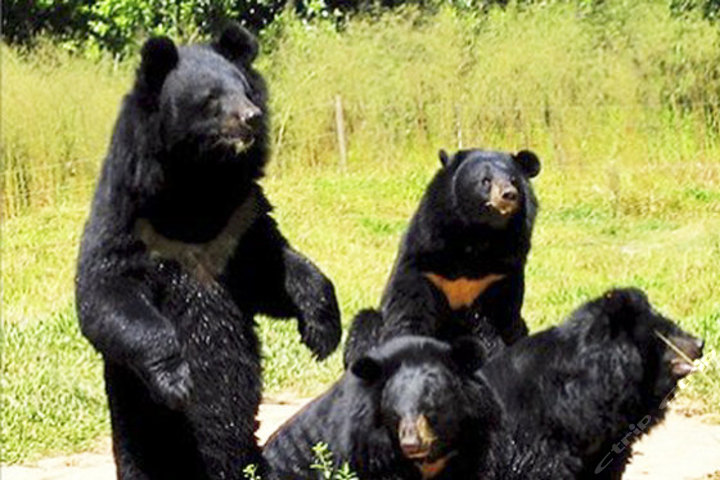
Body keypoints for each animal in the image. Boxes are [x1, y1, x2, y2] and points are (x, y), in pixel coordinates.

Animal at [76, 25, 340, 480]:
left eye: (246, 90)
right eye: (212, 98)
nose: (251, 117)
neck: (199, 182)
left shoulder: (240, 220)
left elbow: (272, 269)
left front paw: (322, 330)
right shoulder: (129, 216)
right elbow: (107, 292)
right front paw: (177, 378)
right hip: (145, 443)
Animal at [344, 148, 540, 366]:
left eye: (514, 181)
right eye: (485, 181)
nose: (509, 195)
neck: (478, 235)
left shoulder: (499, 274)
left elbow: (496, 324)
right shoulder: (425, 264)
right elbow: (410, 312)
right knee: (365, 325)